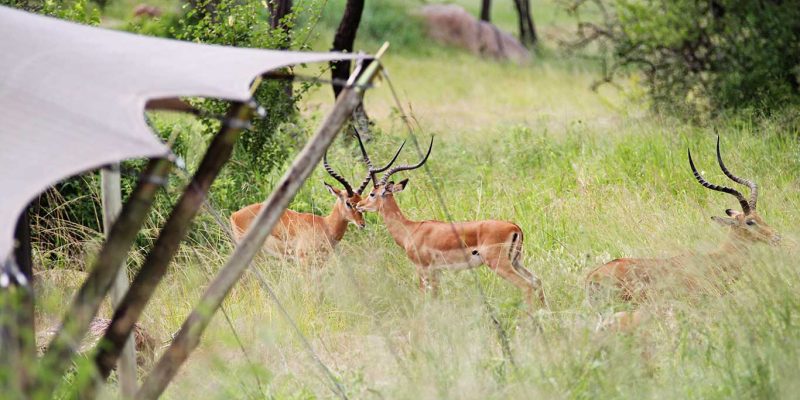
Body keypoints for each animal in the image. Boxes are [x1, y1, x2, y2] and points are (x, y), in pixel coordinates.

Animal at [230, 134, 404, 264]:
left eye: (361, 199)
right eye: (348, 203)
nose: (362, 224)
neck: (325, 225)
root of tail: (234, 215)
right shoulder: (303, 261)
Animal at [354, 138, 548, 310]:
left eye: (372, 193)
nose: (358, 205)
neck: (411, 229)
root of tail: (514, 227)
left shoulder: (422, 269)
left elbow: (424, 297)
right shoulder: (437, 271)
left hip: (499, 264)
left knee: (526, 285)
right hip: (516, 261)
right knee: (537, 281)